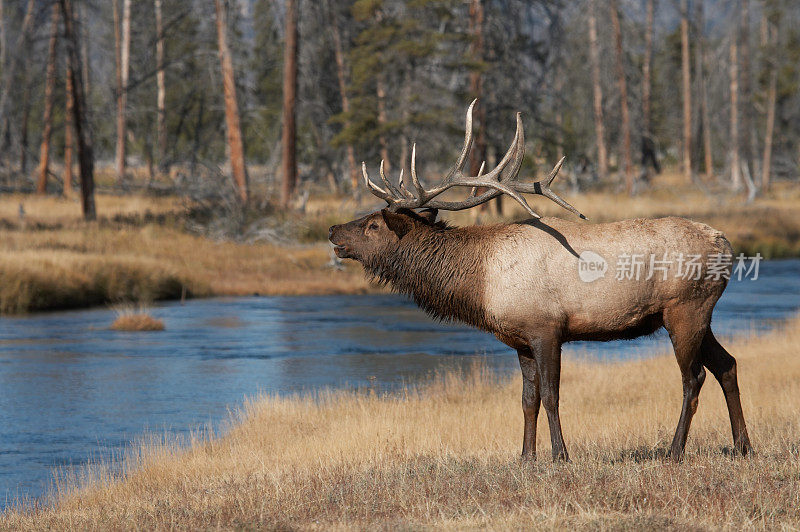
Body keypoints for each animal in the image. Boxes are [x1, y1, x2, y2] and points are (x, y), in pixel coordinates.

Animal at [330, 102, 752, 460]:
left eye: (372, 225)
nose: (333, 230)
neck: (481, 284)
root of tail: (726, 245)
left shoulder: (546, 329)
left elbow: (551, 396)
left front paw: (560, 455)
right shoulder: (520, 339)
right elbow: (526, 400)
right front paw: (526, 457)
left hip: (684, 310)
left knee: (693, 378)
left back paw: (675, 451)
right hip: (700, 315)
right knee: (727, 365)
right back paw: (743, 446)